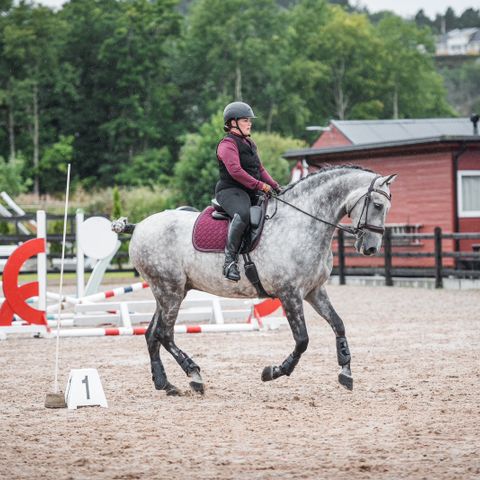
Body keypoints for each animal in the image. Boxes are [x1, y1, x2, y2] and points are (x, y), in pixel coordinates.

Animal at [121, 167, 398, 396]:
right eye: (376, 205)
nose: (371, 248)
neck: (303, 223)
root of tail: (139, 227)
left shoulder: (314, 291)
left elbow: (338, 325)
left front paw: (345, 372)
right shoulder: (290, 293)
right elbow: (302, 340)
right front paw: (274, 371)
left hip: (169, 292)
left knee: (152, 334)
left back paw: (165, 383)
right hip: (170, 290)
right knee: (164, 334)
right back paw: (194, 374)